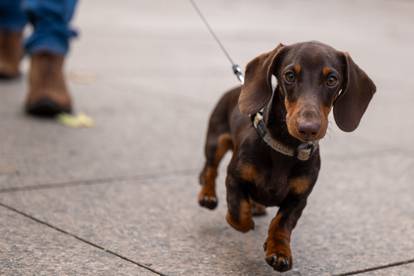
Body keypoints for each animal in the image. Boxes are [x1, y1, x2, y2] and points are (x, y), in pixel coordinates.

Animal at [197, 41, 376, 272]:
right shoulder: (234, 177)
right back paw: (208, 195)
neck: (284, 148)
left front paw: (278, 251)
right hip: (215, 140)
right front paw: (244, 221)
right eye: (289, 75)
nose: (308, 128)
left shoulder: (298, 199)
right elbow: (238, 212)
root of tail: (239, 87)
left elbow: (282, 223)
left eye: (332, 79)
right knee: (210, 168)